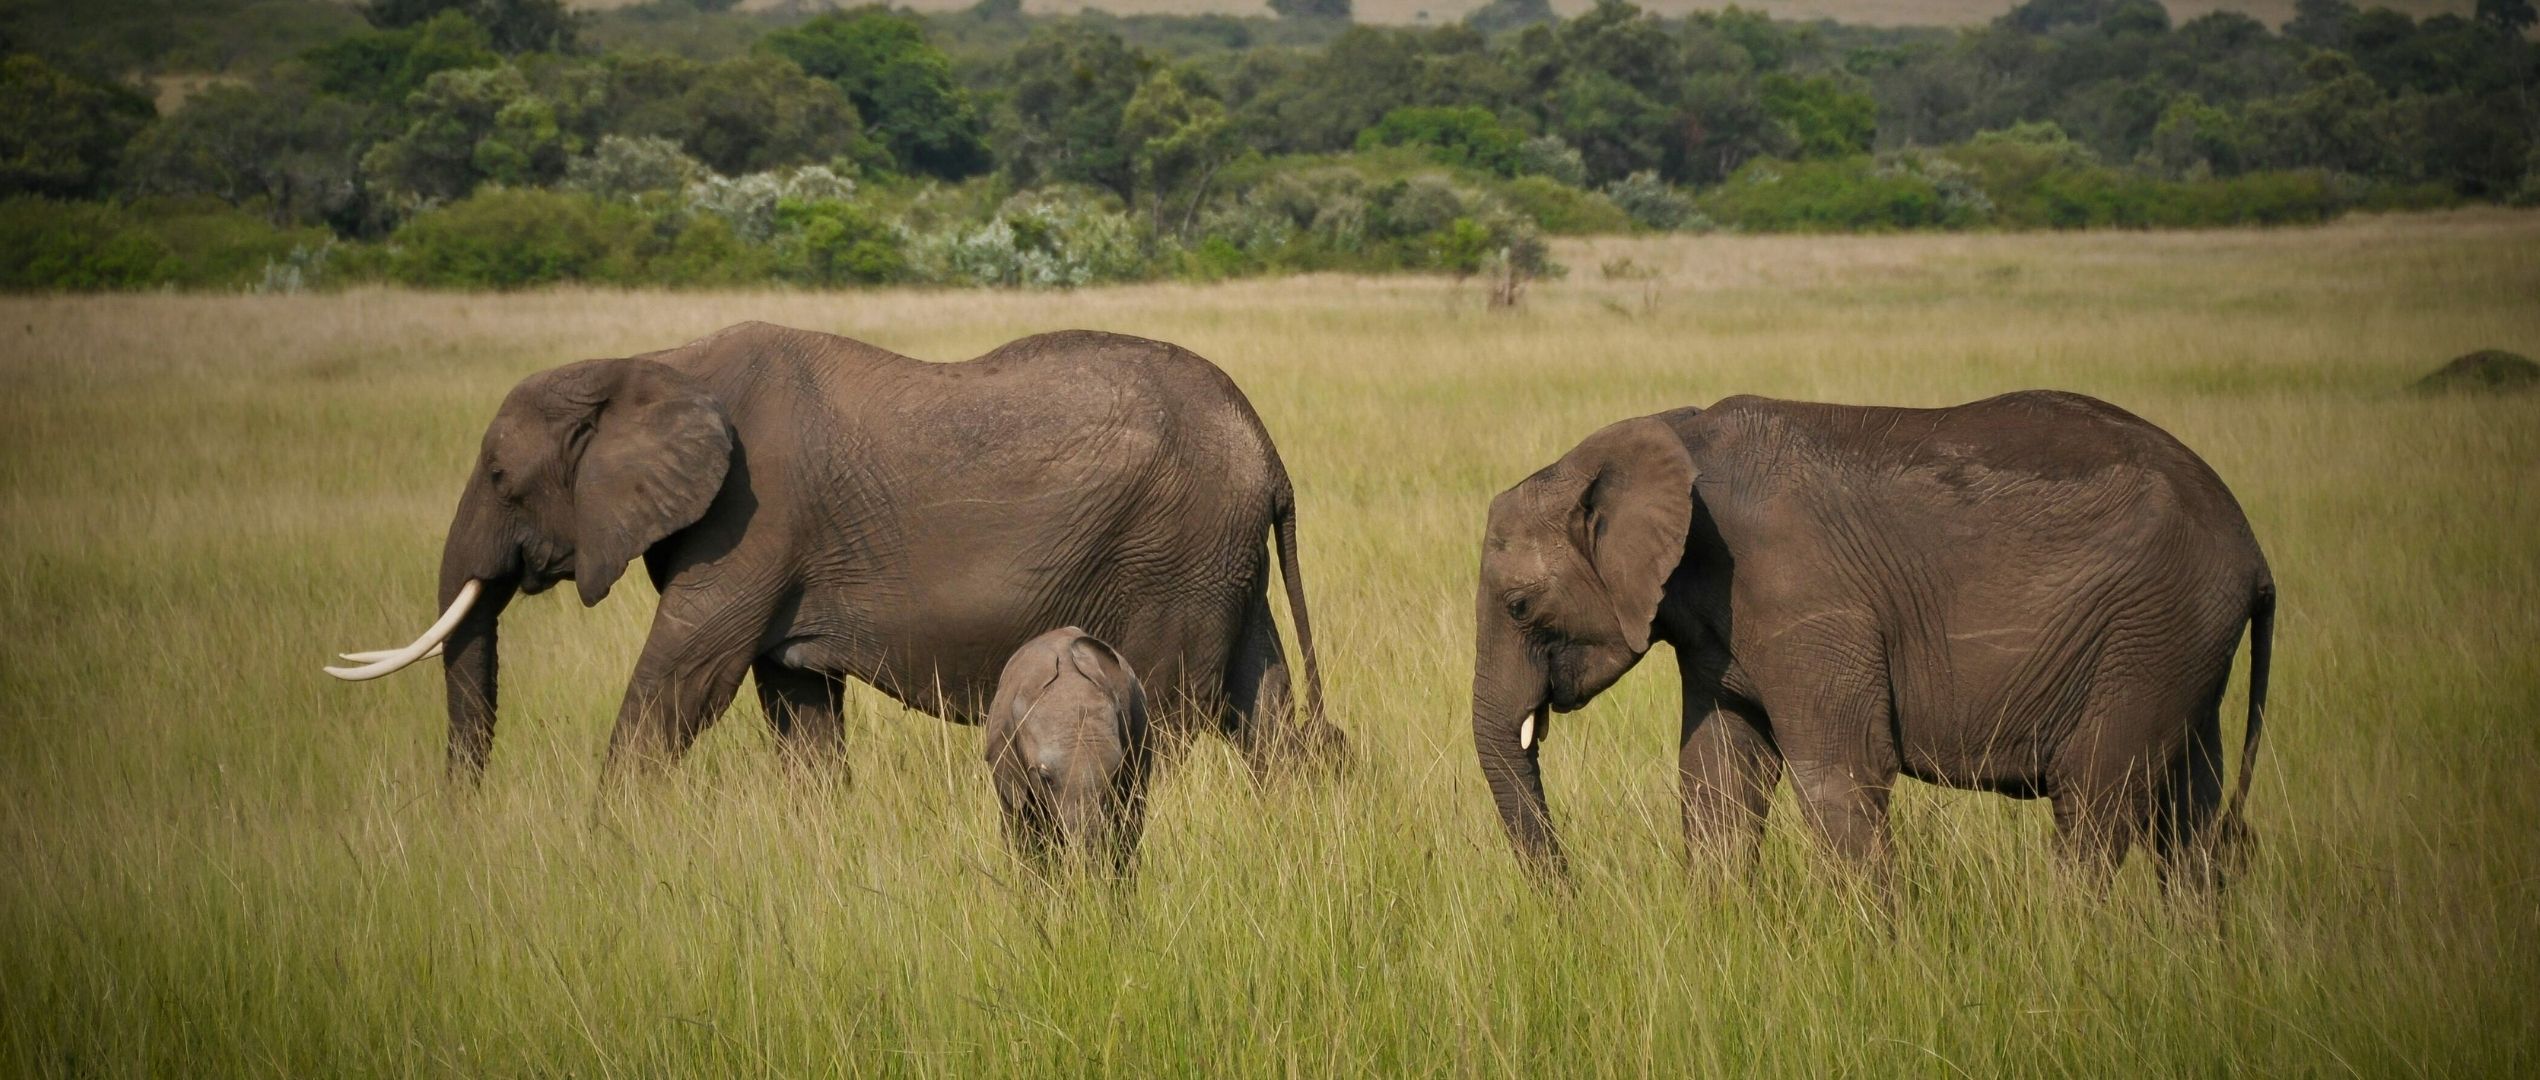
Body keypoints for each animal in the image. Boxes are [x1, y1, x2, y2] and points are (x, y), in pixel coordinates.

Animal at [326, 321, 1339, 785]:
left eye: (501, 476)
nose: (462, 819)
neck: (651, 362)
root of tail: (1270, 451)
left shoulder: (750, 525)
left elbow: (681, 685)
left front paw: (602, 845)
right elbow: (799, 709)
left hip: (1174, 552)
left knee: (1175, 716)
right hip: (1219, 558)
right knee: (1265, 709)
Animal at [1471, 391, 2275, 892]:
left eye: (1518, 606)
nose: (1574, 899)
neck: (1667, 436)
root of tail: (2253, 550)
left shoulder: (1806, 598)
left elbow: (1840, 773)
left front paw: (1879, 959)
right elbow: (1717, 776)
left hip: (2150, 630)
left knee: (2097, 801)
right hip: (2180, 641)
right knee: (2189, 817)